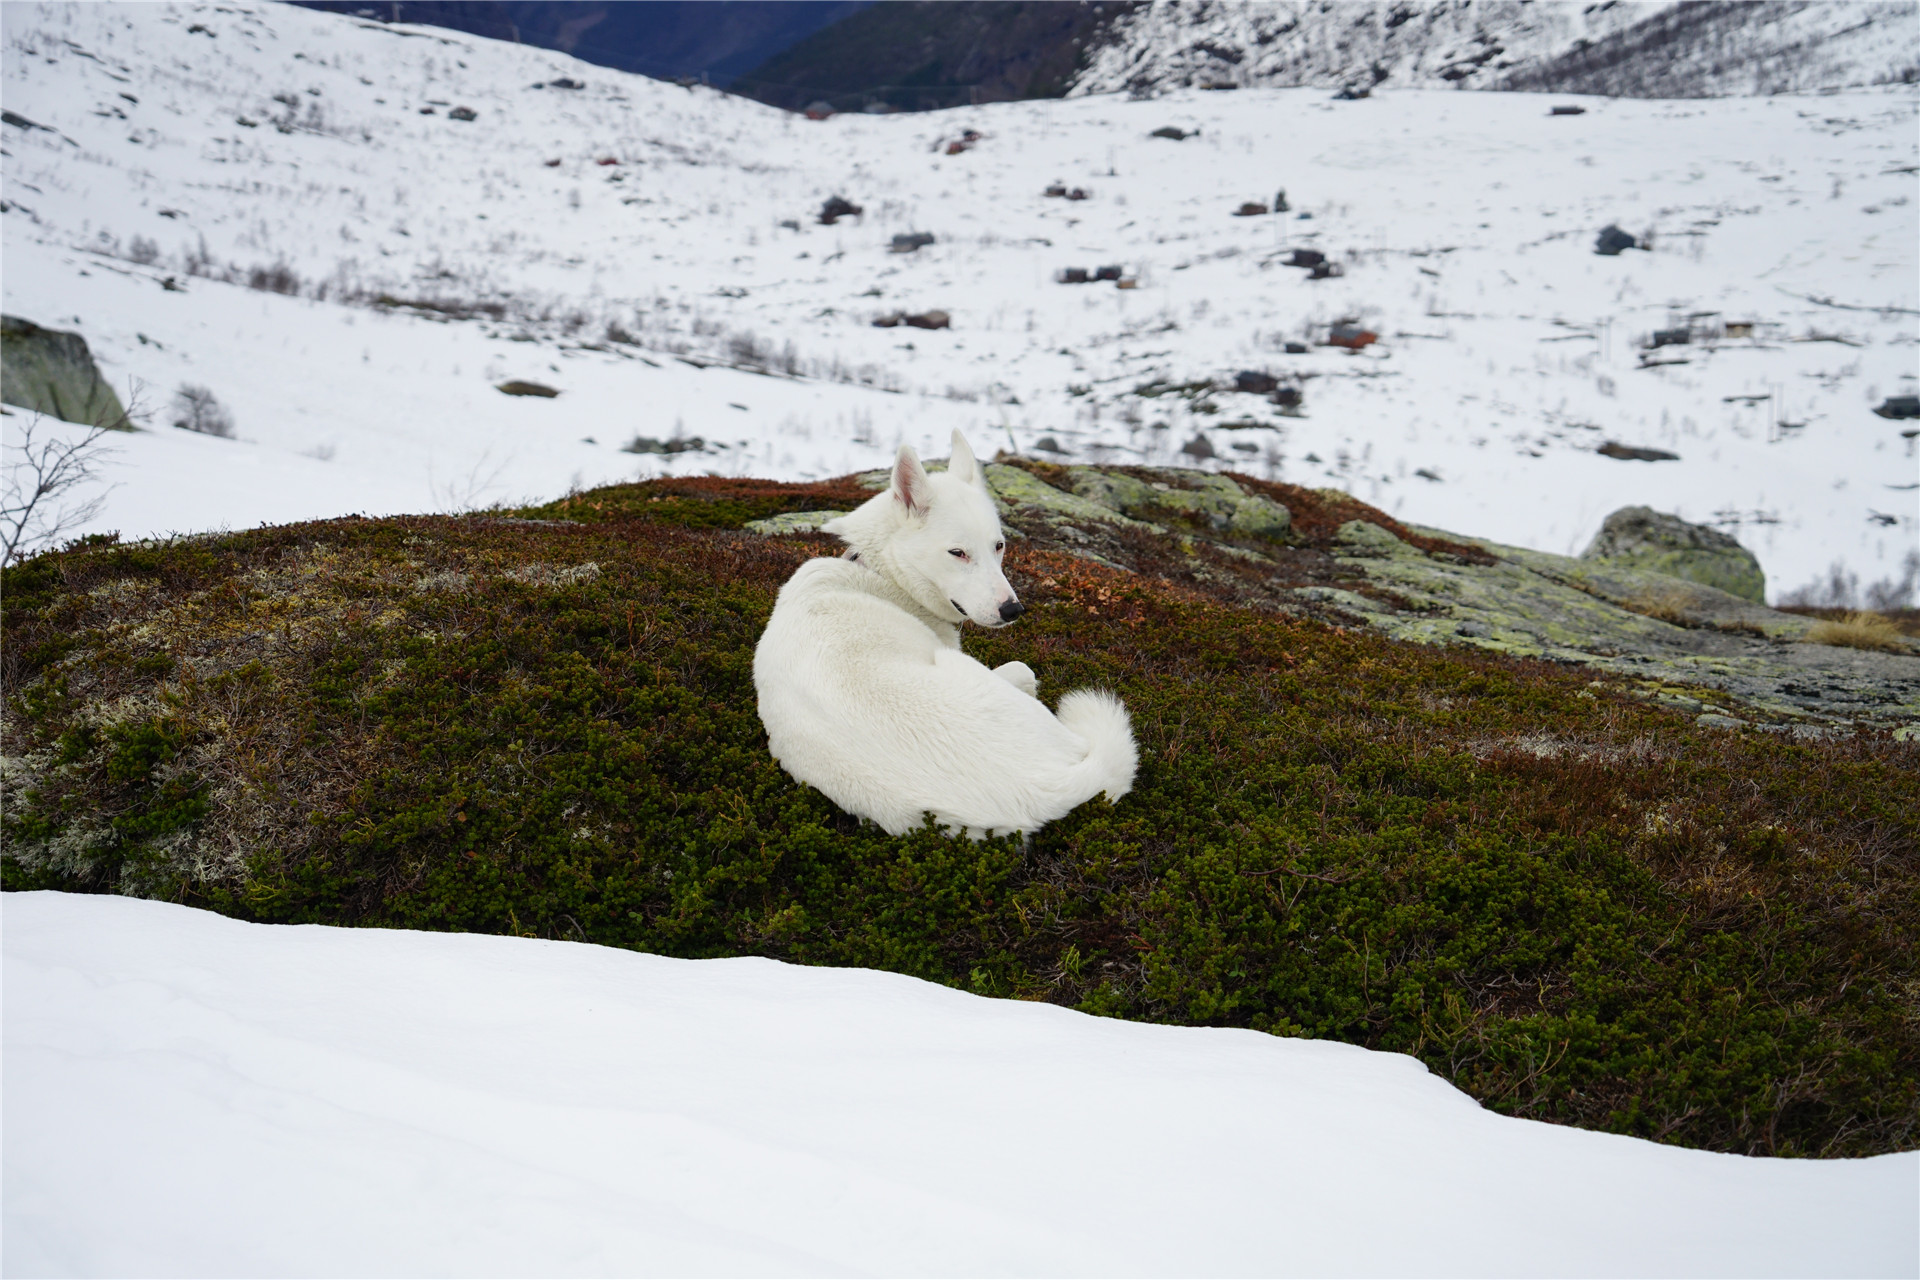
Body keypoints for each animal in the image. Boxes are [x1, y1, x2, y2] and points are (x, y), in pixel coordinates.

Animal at [752, 426, 1136, 836]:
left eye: (999, 546)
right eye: (958, 553)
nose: (1013, 610)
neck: (882, 572)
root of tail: (1043, 791)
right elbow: (1025, 669)